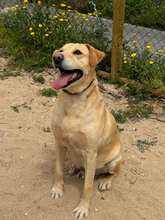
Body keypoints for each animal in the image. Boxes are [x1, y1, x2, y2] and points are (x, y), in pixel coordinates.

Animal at [51, 42, 122, 218]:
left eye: (78, 52)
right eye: (61, 50)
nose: (56, 57)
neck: (73, 101)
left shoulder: (90, 153)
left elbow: (87, 187)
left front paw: (83, 208)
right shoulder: (59, 142)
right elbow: (58, 170)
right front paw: (57, 189)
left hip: (114, 161)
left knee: (113, 173)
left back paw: (105, 181)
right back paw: (73, 166)